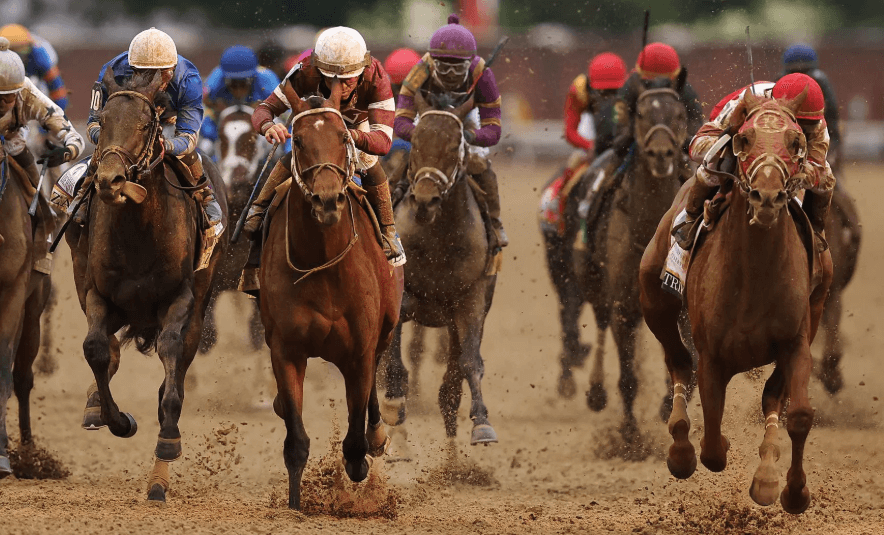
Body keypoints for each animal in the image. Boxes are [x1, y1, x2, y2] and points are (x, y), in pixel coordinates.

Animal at [67, 69, 227, 503]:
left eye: (143, 125)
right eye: (103, 122)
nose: (109, 180)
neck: (139, 230)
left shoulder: (180, 299)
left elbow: (170, 357)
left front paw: (167, 442)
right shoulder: (98, 294)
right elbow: (95, 349)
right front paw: (116, 418)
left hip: (198, 305)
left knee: (177, 364)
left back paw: (158, 480)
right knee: (108, 348)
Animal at [258, 80, 402, 510]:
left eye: (342, 137)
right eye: (300, 140)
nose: (326, 200)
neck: (323, 263)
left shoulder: (360, 351)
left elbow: (355, 441)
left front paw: (361, 462)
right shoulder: (286, 350)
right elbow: (296, 441)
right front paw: (295, 504)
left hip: (384, 332)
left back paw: (377, 436)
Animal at [382, 91, 499, 446]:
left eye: (453, 147)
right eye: (417, 143)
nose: (424, 201)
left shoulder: (471, 300)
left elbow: (469, 363)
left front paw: (482, 423)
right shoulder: (400, 296)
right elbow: (394, 364)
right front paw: (393, 405)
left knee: (450, 386)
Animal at [577, 74, 690, 445]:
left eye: (679, 114)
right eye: (640, 114)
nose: (661, 154)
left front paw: (670, 405)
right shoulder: (623, 307)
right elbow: (627, 377)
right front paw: (629, 438)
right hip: (592, 281)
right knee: (599, 322)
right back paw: (596, 392)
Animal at [639, 87, 832, 514]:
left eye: (797, 143)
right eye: (744, 140)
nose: (768, 196)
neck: (754, 275)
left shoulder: (796, 342)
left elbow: (799, 414)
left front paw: (791, 491)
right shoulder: (712, 356)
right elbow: (712, 443)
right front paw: (703, 449)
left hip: (815, 310)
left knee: (773, 397)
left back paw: (767, 472)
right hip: (654, 301)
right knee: (679, 363)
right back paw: (680, 449)